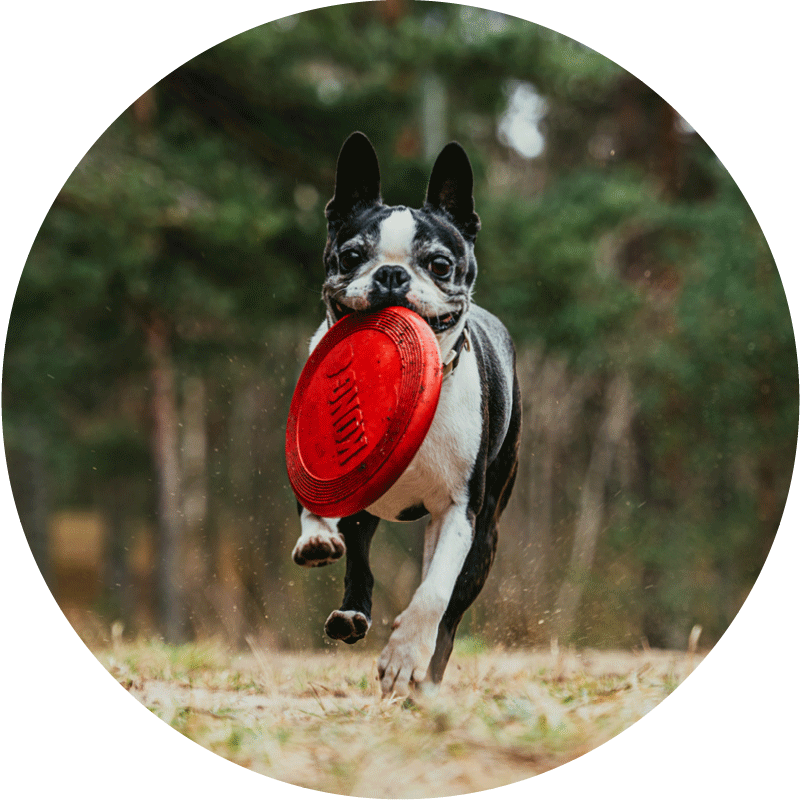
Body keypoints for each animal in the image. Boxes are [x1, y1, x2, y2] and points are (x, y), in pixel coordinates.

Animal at [290, 131, 520, 692]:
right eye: (351, 256)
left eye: (438, 265)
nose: (391, 274)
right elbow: (313, 502)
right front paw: (316, 536)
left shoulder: (460, 512)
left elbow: (434, 593)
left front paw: (403, 657)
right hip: (368, 508)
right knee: (360, 560)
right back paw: (350, 614)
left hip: (486, 534)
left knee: (450, 612)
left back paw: (426, 677)